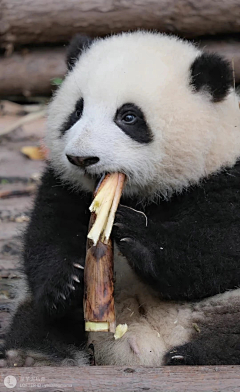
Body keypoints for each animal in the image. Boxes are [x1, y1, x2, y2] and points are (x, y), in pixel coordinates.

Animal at [1, 31, 240, 368]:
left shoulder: (225, 177)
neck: (143, 195)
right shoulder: (65, 186)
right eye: (77, 111)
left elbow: (217, 251)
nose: (82, 158)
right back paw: (32, 354)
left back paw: (193, 354)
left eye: (128, 117)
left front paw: (133, 231)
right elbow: (47, 236)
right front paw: (68, 283)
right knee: (36, 316)